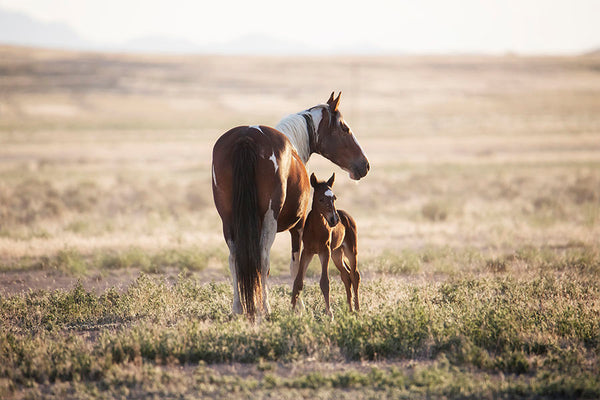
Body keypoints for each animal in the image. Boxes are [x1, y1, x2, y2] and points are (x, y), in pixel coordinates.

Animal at [292, 173, 360, 318]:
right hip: (337, 254)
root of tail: (345, 214)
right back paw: (350, 310)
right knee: (346, 275)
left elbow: (325, 282)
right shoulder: (307, 251)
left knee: (354, 275)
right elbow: (298, 281)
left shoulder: (325, 251)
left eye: (334, 198)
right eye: (321, 199)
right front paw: (291, 311)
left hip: (351, 250)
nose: (334, 220)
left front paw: (330, 314)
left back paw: (357, 310)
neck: (316, 229)